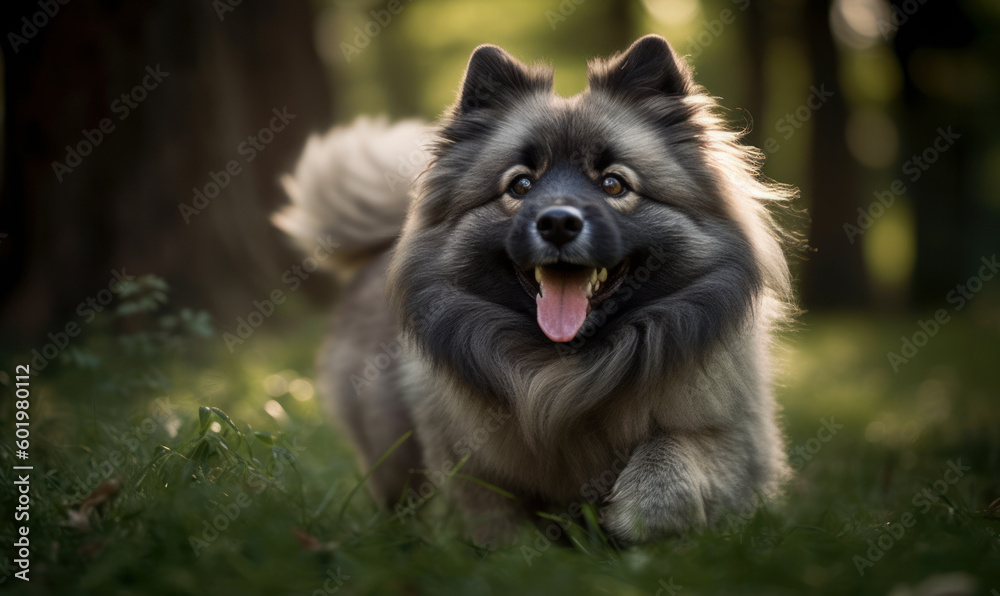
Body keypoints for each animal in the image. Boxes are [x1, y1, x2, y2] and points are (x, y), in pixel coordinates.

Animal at [274, 32, 796, 544]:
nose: (558, 222)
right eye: (521, 185)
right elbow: (495, 521)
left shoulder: (736, 440)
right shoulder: (467, 462)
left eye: (613, 184)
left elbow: (673, 456)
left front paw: (637, 516)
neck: (565, 374)